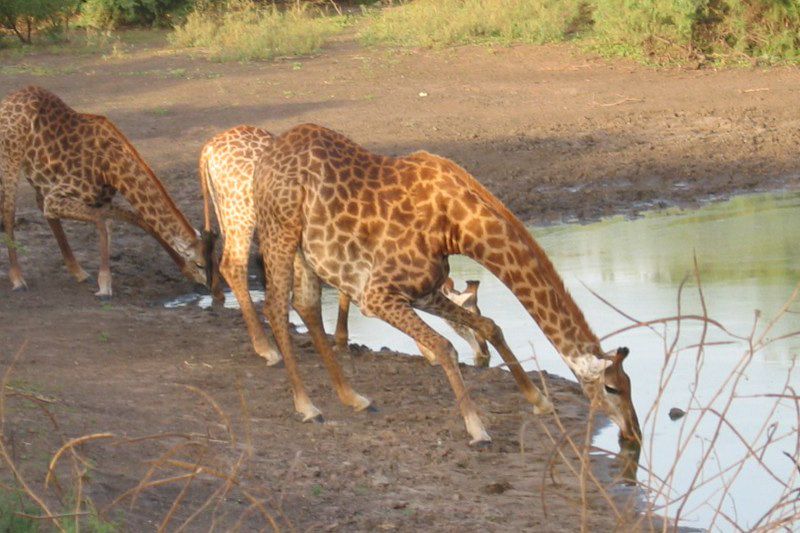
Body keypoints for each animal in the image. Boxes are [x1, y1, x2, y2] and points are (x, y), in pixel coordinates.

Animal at [0, 85, 206, 298]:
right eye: (200, 264)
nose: (207, 285)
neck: (112, 168)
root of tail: (9, 99)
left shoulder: (100, 200)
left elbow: (129, 221)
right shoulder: (58, 197)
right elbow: (102, 222)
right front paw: (105, 286)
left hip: (38, 175)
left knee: (39, 208)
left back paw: (78, 272)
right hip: (10, 157)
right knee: (9, 211)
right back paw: (18, 279)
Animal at [200, 125, 488, 366]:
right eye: (470, 308)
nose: (484, 355)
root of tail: (208, 150)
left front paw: (340, 341)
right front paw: (428, 352)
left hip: (230, 215)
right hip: (242, 214)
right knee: (233, 266)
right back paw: (266, 349)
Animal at [256, 123, 644, 444]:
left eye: (630, 385)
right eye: (612, 388)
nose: (634, 434)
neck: (458, 227)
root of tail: (271, 153)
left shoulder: (425, 290)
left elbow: (489, 326)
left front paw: (539, 400)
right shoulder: (377, 295)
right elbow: (445, 347)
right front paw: (477, 429)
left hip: (306, 250)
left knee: (305, 306)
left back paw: (353, 398)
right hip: (279, 232)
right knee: (275, 306)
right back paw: (307, 407)